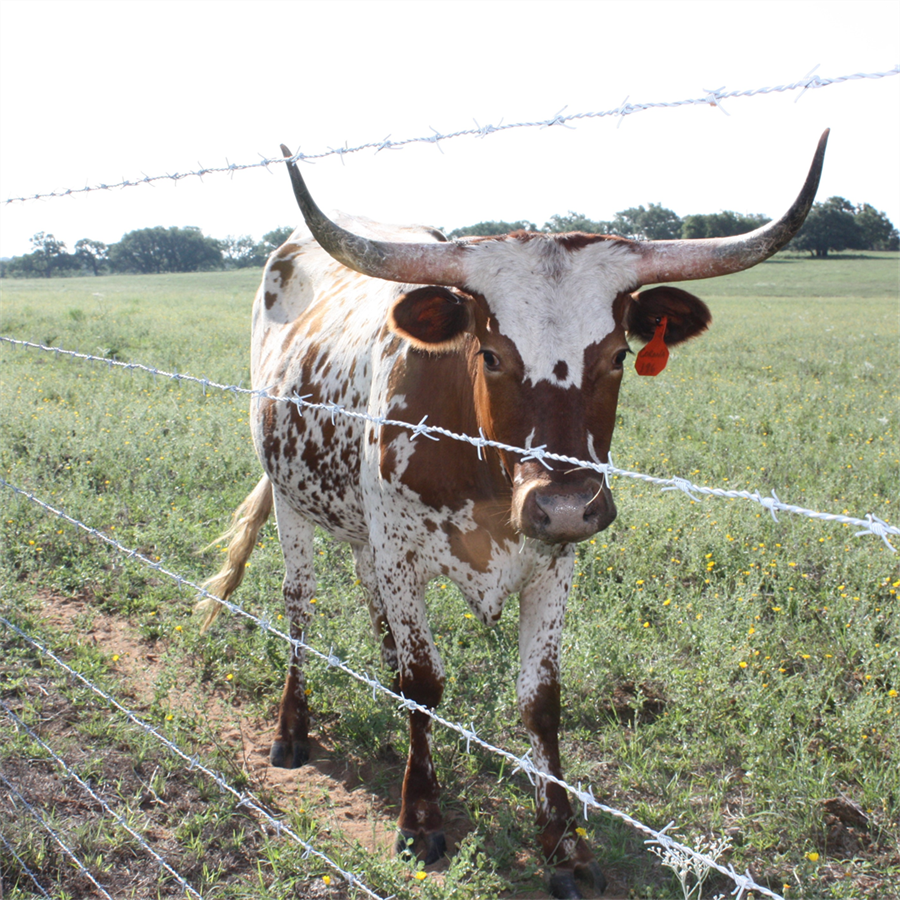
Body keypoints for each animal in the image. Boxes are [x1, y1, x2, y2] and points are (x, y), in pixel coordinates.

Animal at [204, 130, 828, 896]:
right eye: (493, 354)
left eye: (618, 355)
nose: (563, 506)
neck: (490, 481)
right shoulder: (405, 553)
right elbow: (424, 684)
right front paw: (420, 819)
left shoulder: (553, 566)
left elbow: (540, 700)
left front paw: (562, 842)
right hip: (292, 499)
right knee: (301, 604)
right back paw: (293, 728)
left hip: (363, 527)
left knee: (368, 594)